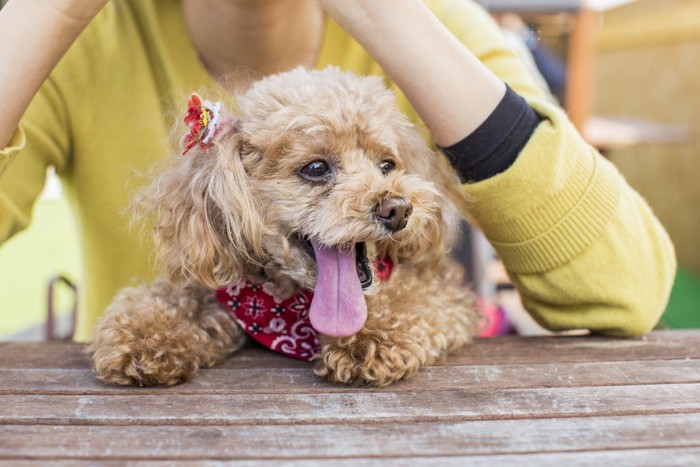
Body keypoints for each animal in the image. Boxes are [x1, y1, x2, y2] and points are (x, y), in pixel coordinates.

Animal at [90, 66, 478, 388]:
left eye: (387, 164)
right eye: (316, 168)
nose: (397, 209)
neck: (290, 310)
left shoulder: (439, 286)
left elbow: (414, 299)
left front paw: (370, 340)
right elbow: (167, 300)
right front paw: (145, 339)